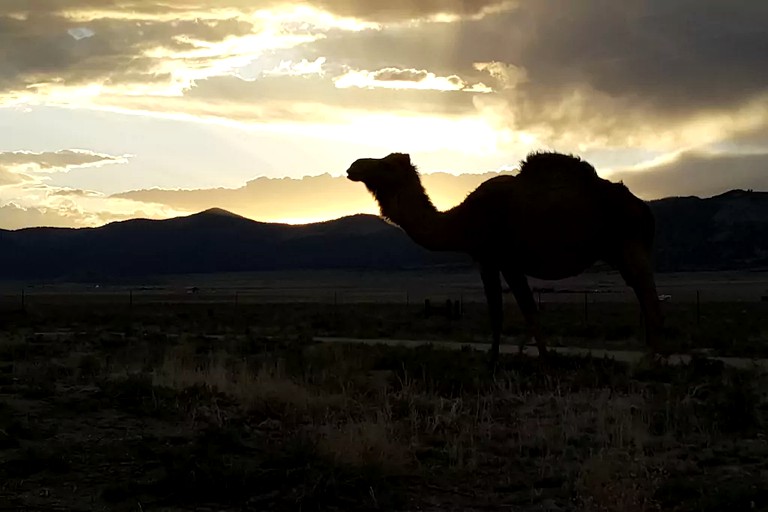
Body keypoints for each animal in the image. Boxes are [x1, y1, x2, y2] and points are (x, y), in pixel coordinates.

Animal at [344, 152, 664, 364]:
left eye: (385, 164)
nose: (353, 166)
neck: (462, 221)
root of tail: (643, 208)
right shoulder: (490, 262)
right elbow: (505, 312)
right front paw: (503, 358)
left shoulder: (504, 260)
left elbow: (520, 310)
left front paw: (536, 360)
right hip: (622, 251)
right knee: (642, 291)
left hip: (628, 243)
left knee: (648, 294)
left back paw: (649, 359)